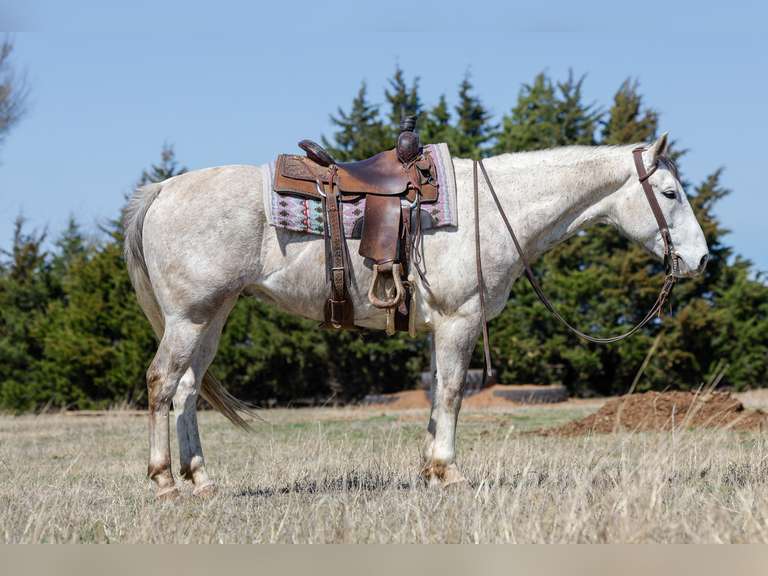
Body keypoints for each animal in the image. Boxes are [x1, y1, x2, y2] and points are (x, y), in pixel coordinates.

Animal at [124, 133, 709, 498]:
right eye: (670, 192)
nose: (701, 259)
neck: (491, 209)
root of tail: (163, 189)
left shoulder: (439, 327)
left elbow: (435, 398)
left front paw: (430, 471)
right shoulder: (459, 319)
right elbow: (451, 393)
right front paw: (450, 473)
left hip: (211, 318)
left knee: (187, 392)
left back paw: (202, 481)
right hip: (189, 319)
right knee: (160, 383)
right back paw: (164, 481)